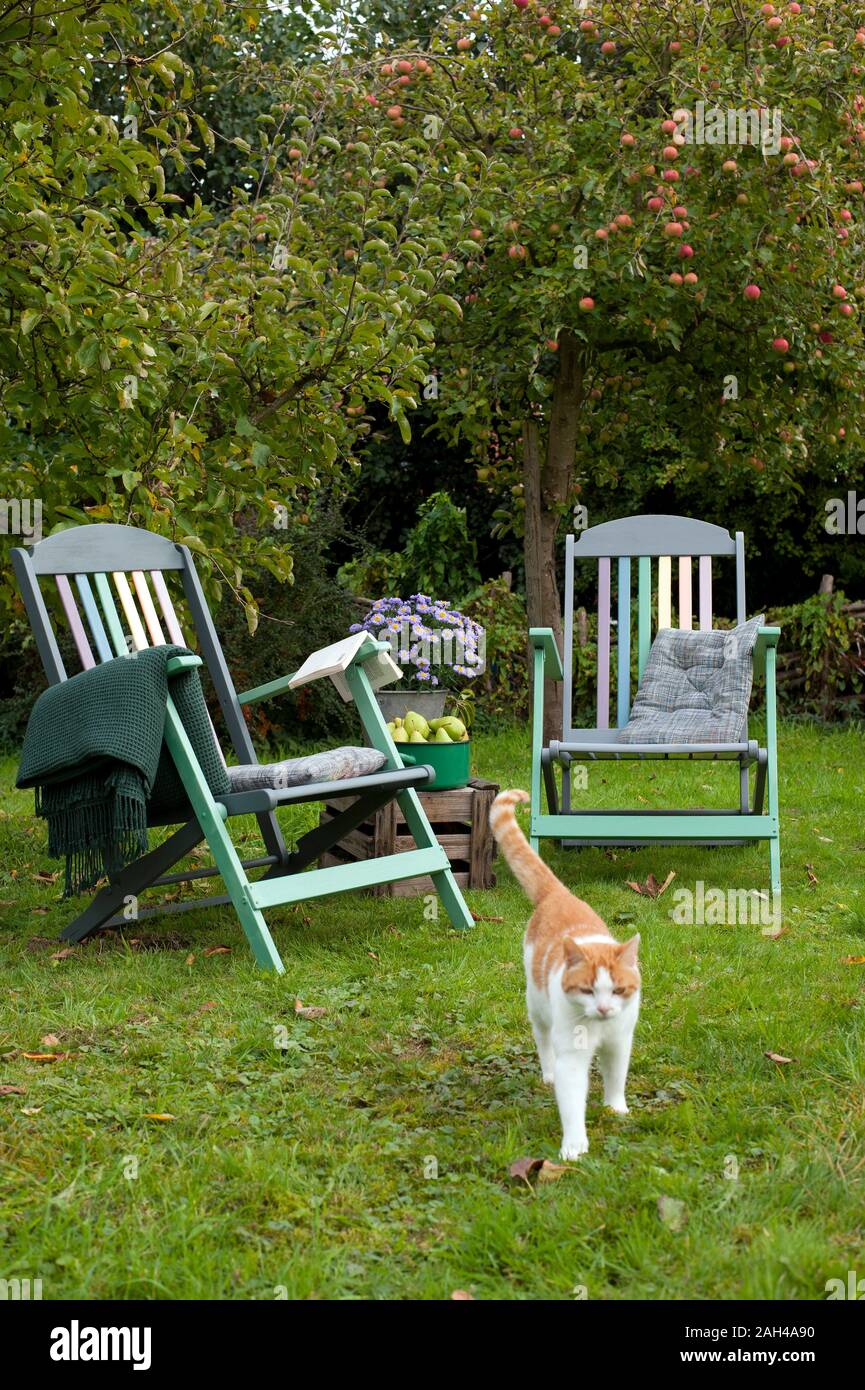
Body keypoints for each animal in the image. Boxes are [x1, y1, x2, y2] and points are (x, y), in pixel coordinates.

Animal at [492, 789, 639, 1156]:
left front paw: (616, 1108)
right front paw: (574, 1146)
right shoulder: (572, 1057)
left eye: (618, 990)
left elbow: (616, 1077)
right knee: (544, 1041)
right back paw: (548, 1074)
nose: (603, 1009)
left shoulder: (620, 1042)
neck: (599, 1028)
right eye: (587, 990)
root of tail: (559, 894)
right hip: (538, 1008)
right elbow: (572, 1102)